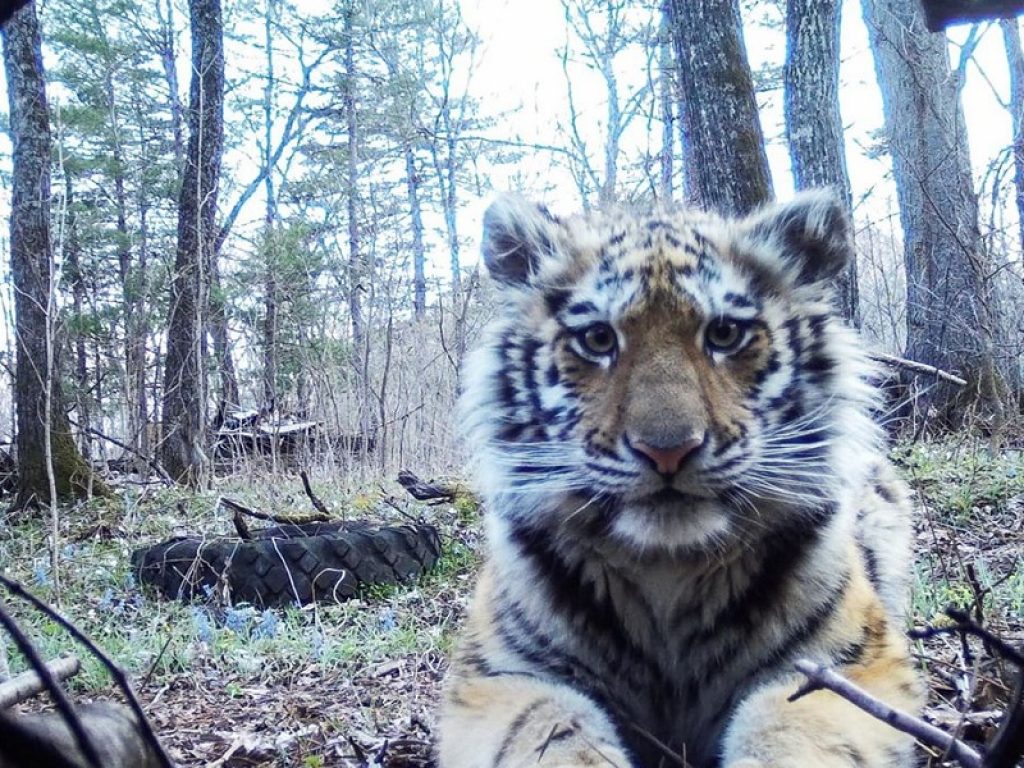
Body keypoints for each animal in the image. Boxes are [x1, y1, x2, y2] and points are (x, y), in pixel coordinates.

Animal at [436, 190, 924, 768]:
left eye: (725, 334)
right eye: (598, 339)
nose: (667, 451)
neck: (667, 569)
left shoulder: (849, 664)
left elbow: (791, 728)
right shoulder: (499, 676)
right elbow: (546, 729)